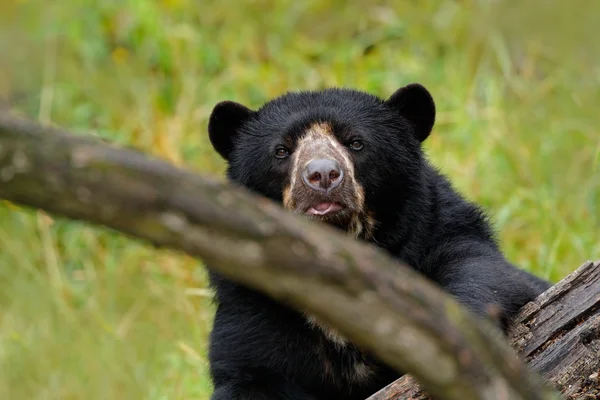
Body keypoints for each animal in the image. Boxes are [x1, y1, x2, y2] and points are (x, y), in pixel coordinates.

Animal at [204, 82, 552, 400]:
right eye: (281, 150)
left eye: (355, 142)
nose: (323, 175)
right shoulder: (253, 306)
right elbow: (250, 371)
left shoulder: (439, 234)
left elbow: (480, 275)